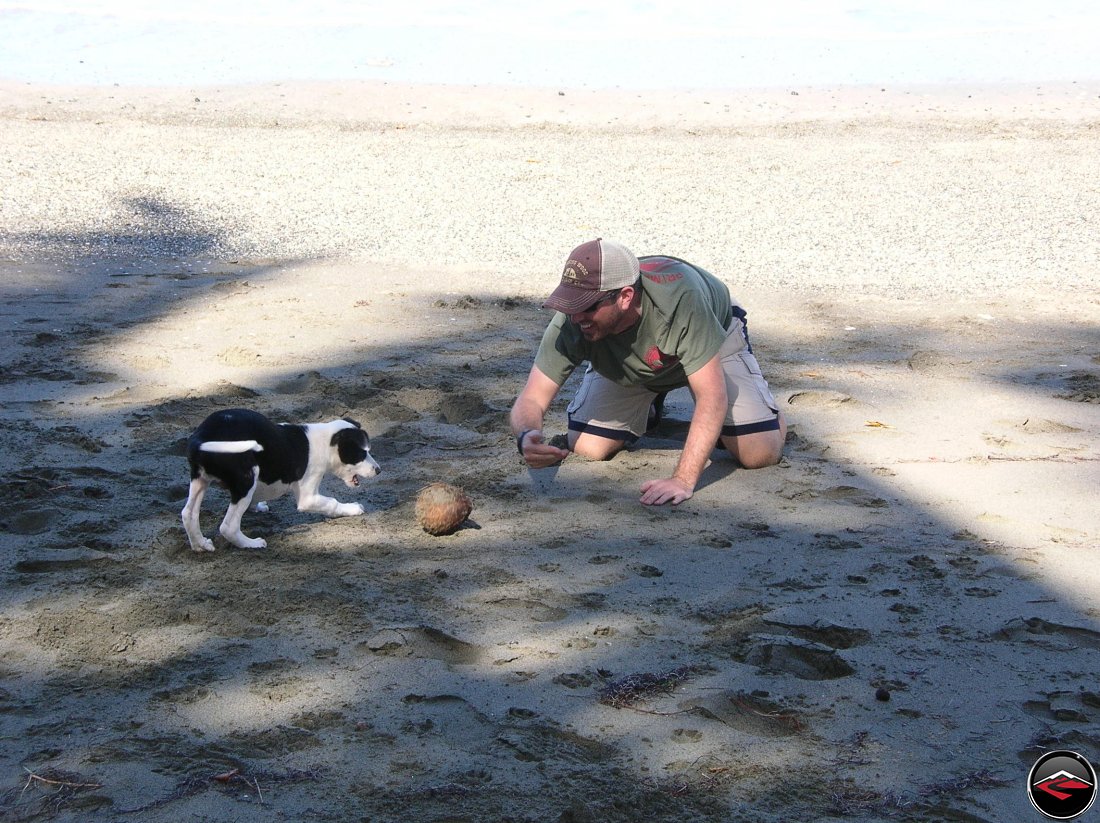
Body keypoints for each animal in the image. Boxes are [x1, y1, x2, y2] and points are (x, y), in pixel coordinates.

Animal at [181, 409, 382, 552]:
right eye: (362, 453)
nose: (379, 470)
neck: (324, 444)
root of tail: (200, 437)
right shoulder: (308, 498)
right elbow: (332, 503)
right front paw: (353, 508)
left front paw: (257, 506)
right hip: (247, 476)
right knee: (228, 527)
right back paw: (251, 544)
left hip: (200, 480)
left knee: (188, 513)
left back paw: (200, 545)